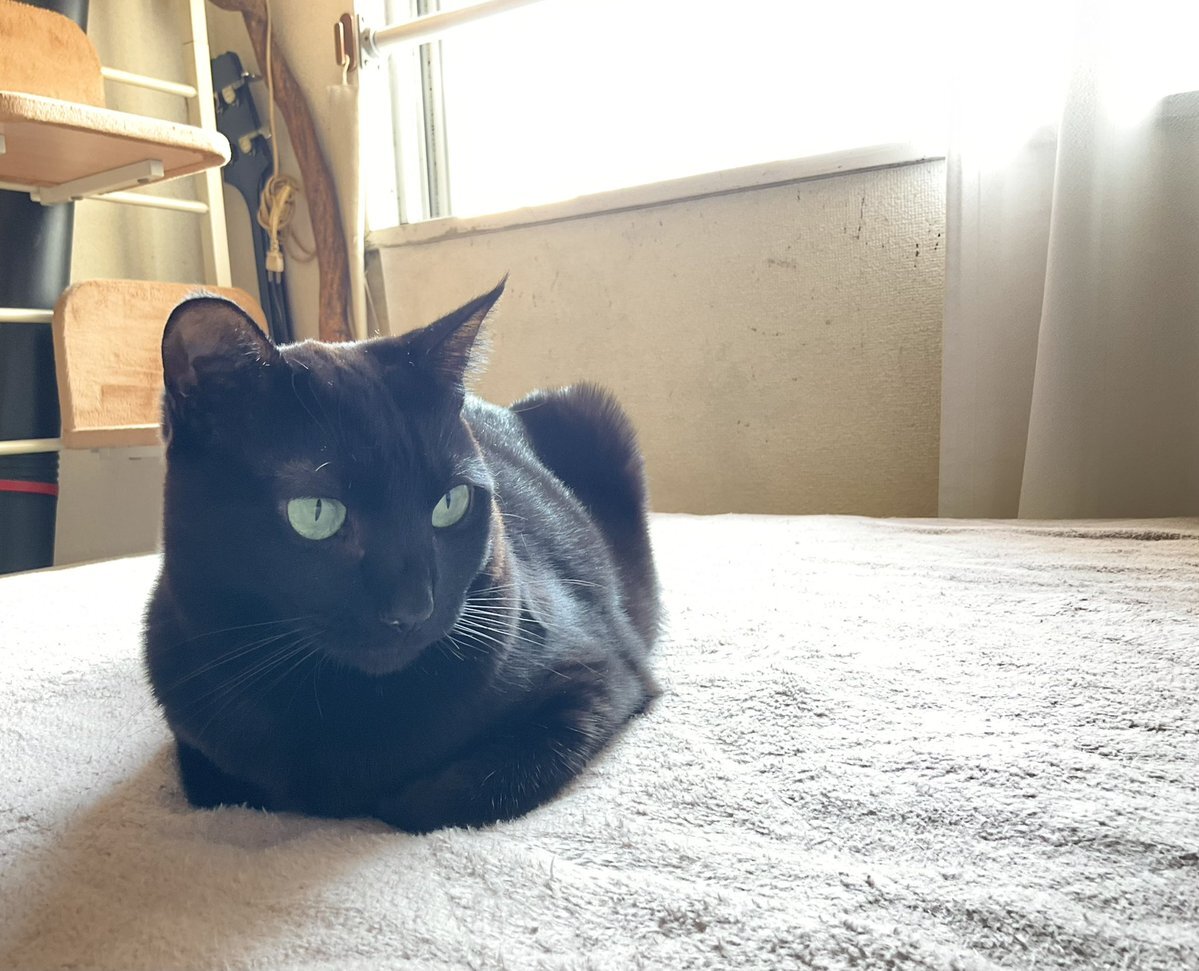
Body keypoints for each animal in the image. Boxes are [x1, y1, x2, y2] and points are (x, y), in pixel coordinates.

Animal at [143, 279, 660, 833]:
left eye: (451, 504)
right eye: (316, 512)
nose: (414, 608)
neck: (348, 710)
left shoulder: (599, 675)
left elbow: (449, 798)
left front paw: (385, 799)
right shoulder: (198, 741)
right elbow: (227, 785)